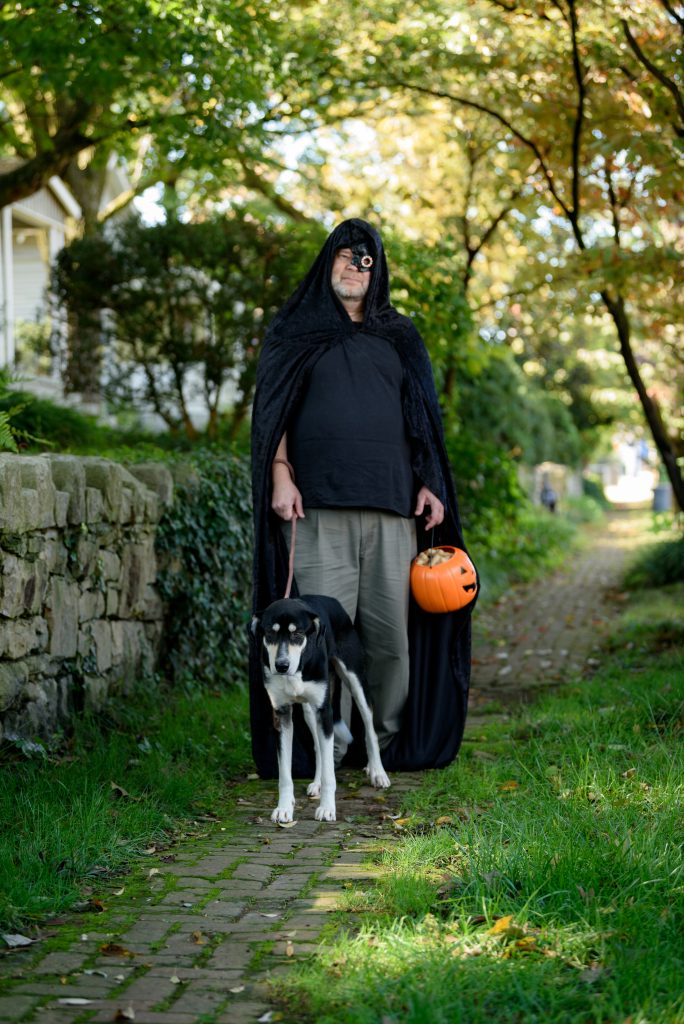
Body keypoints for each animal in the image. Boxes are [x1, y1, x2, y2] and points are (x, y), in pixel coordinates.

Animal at [250, 593, 389, 823]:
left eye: (297, 633)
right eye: (270, 633)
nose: (281, 665)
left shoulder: (325, 712)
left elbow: (329, 773)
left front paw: (326, 808)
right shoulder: (282, 714)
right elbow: (285, 773)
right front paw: (284, 808)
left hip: (355, 680)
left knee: (370, 730)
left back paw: (378, 772)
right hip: (309, 711)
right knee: (318, 746)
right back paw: (316, 783)